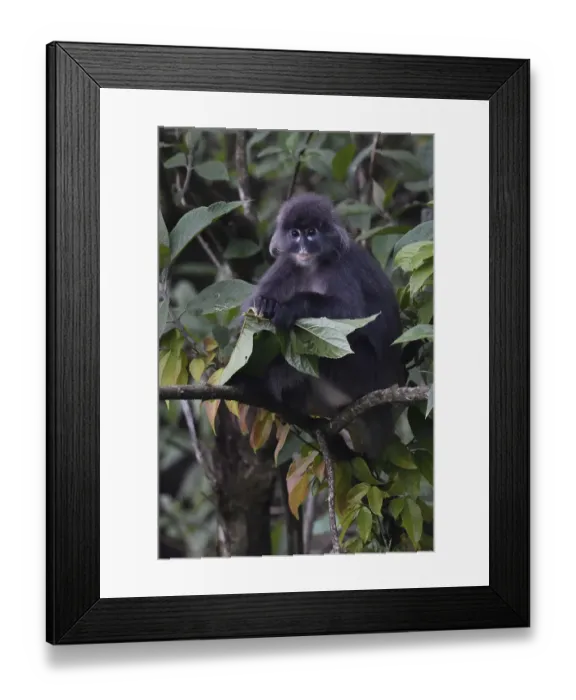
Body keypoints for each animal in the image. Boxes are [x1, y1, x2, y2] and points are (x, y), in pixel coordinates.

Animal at [234, 192, 406, 461]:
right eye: (295, 234)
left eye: (312, 232)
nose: (303, 246)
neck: (313, 265)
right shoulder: (288, 264)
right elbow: (248, 313)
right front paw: (265, 305)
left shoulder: (340, 265)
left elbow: (350, 314)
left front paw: (289, 307)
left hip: (362, 376)